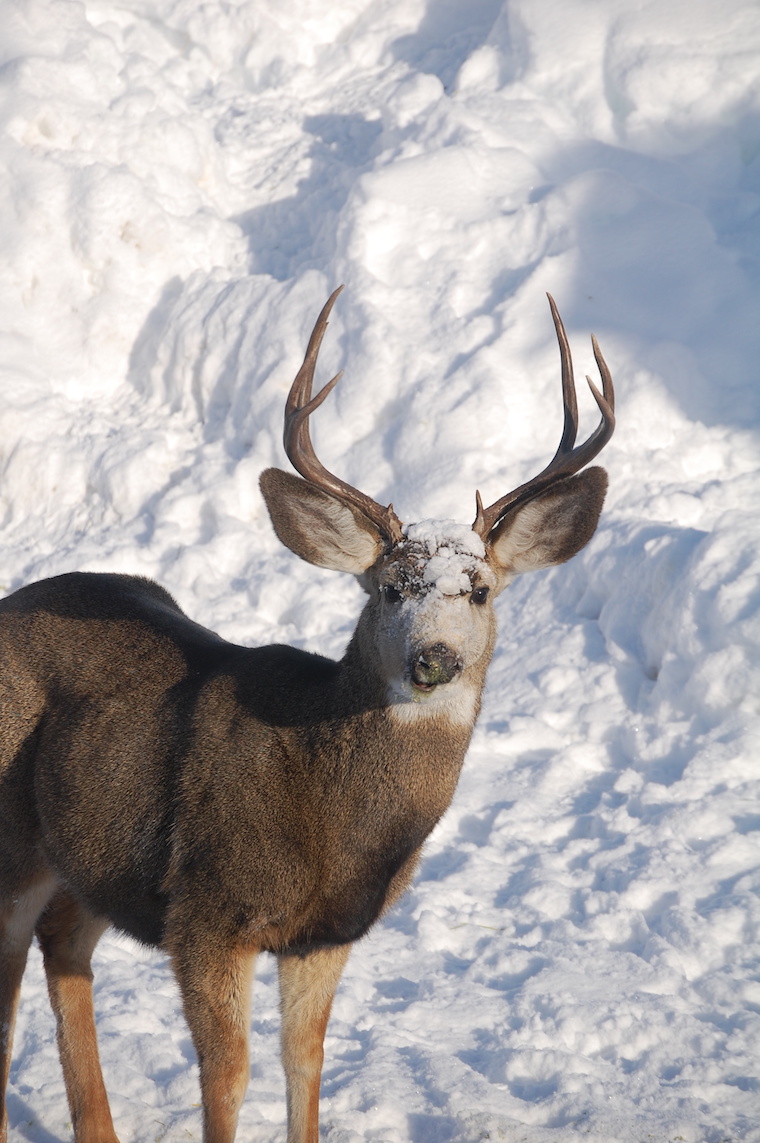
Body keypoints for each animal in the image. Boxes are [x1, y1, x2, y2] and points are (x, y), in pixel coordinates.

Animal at [0, 287, 614, 1143]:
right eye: (389, 587)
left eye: (479, 589)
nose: (433, 659)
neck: (333, 815)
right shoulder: (207, 910)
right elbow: (228, 1076)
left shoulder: (326, 932)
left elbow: (306, 1063)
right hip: (14, 837)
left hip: (90, 853)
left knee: (62, 945)